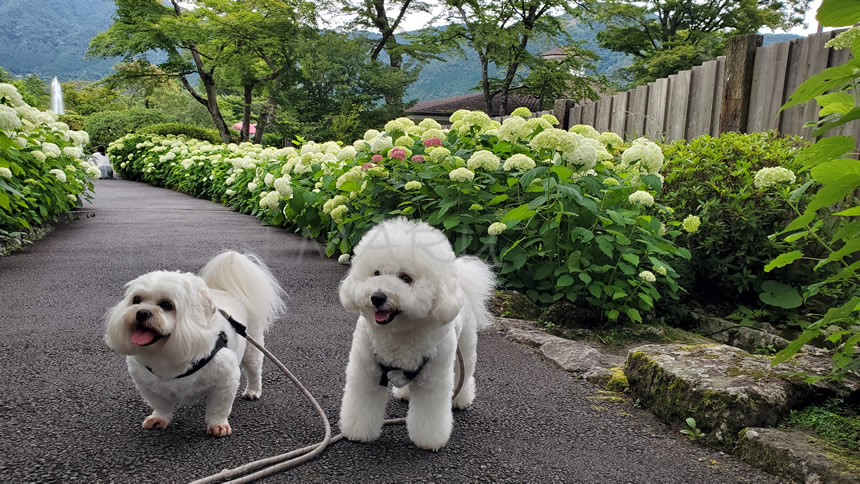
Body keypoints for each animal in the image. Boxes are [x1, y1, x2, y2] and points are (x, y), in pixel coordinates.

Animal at [103, 251, 286, 436]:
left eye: (167, 305)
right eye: (136, 299)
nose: (142, 313)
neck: (166, 352)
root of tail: (228, 291)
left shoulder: (226, 379)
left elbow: (219, 407)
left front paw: (218, 425)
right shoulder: (146, 384)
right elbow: (160, 404)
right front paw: (159, 418)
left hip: (252, 346)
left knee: (254, 370)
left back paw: (253, 391)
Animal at [338, 218, 494, 450]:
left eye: (406, 278)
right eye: (376, 273)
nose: (377, 297)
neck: (400, 334)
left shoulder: (434, 381)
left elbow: (430, 413)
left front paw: (429, 441)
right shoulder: (365, 374)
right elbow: (362, 403)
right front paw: (357, 432)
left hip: (465, 349)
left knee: (464, 376)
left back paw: (460, 400)